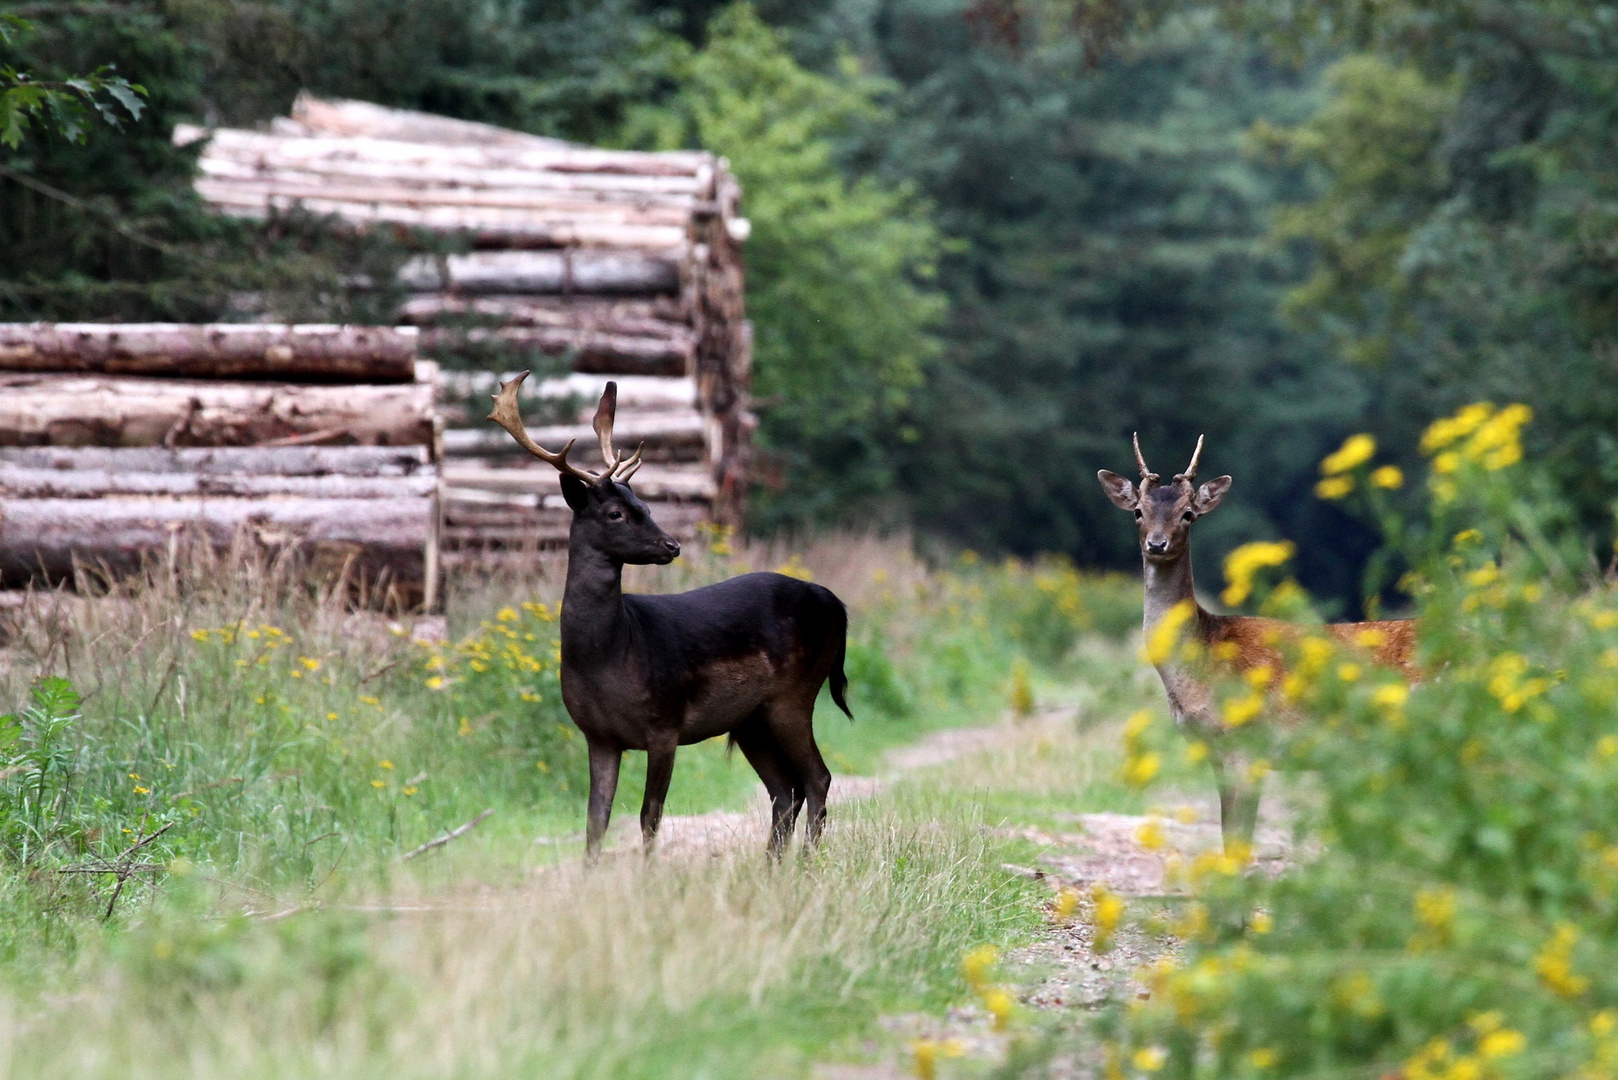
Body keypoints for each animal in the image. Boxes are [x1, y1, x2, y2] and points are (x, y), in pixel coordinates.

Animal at [485, 372, 854, 861]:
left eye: (646, 504)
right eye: (616, 512)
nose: (671, 545)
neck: (611, 656)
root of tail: (834, 602)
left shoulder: (665, 724)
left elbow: (650, 815)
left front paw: (648, 874)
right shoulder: (598, 735)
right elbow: (595, 821)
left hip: (794, 693)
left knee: (817, 777)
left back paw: (806, 865)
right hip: (751, 718)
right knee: (784, 789)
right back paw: (771, 868)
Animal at [1100, 433, 1417, 848]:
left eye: (1188, 514)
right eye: (1138, 511)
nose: (1157, 544)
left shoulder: (1247, 744)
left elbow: (1238, 839)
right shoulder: (1218, 753)